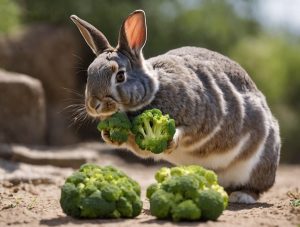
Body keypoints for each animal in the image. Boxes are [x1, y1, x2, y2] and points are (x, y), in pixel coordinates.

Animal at [71, 9, 282, 204]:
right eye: (90, 74)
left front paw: (172, 140)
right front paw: (107, 136)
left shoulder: (201, 118)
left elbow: (186, 131)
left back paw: (242, 196)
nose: (94, 105)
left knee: (256, 187)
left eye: (120, 76)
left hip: (256, 164)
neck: (153, 90)